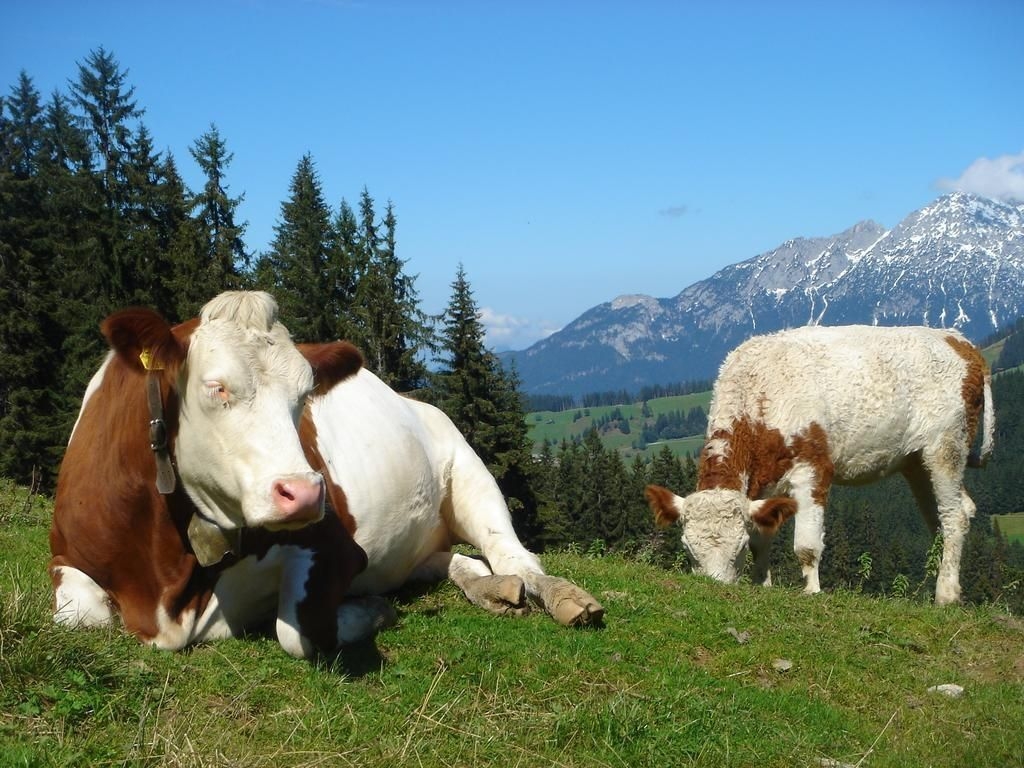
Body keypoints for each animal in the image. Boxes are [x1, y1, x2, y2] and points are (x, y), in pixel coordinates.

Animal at [51, 291, 603, 660]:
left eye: (304, 396)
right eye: (217, 388)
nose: (304, 493)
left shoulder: (337, 548)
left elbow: (298, 632)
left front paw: (373, 610)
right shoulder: (64, 554)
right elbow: (83, 618)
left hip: (469, 472)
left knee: (513, 555)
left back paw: (563, 597)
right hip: (421, 540)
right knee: (456, 562)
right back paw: (491, 589)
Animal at [645, 325, 994, 605]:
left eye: (737, 548)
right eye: (687, 547)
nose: (715, 590)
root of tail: (960, 341)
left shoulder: (812, 468)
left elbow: (806, 544)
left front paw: (811, 590)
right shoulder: (764, 482)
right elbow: (763, 535)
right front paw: (762, 584)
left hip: (945, 447)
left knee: (954, 516)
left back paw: (945, 594)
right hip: (916, 462)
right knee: (949, 514)